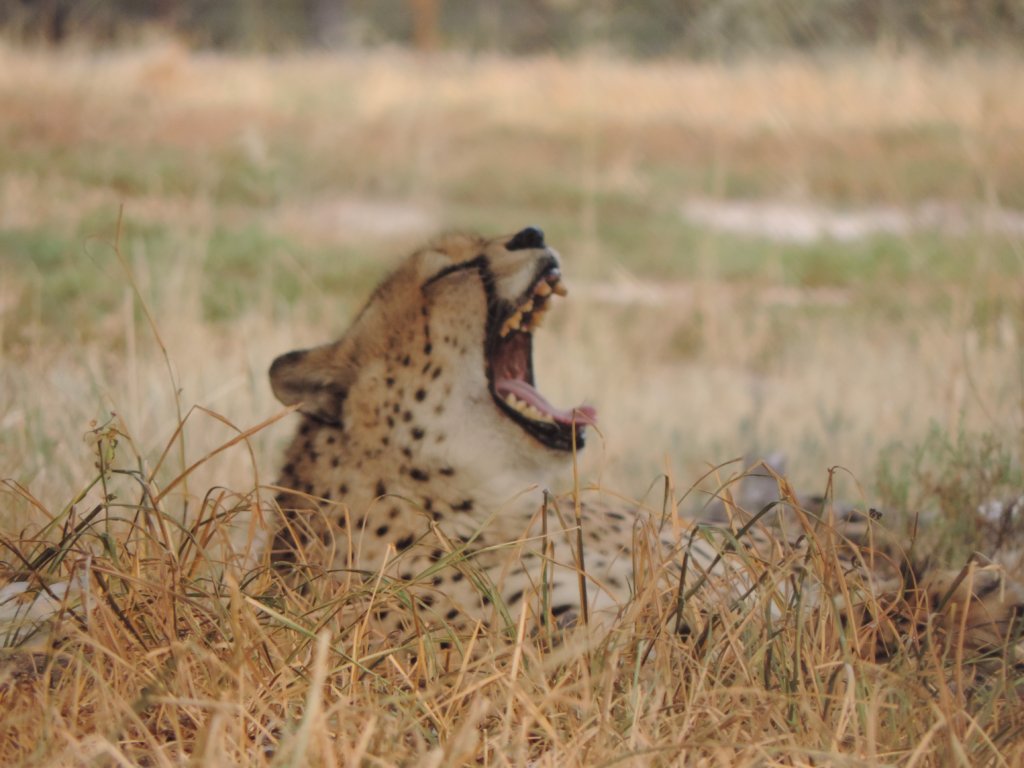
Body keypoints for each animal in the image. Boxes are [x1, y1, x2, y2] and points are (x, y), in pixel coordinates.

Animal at [269, 227, 1023, 661]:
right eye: (449, 272)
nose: (532, 231)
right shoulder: (581, 648)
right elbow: (791, 627)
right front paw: (967, 602)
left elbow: (791, 605)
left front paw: (965, 592)